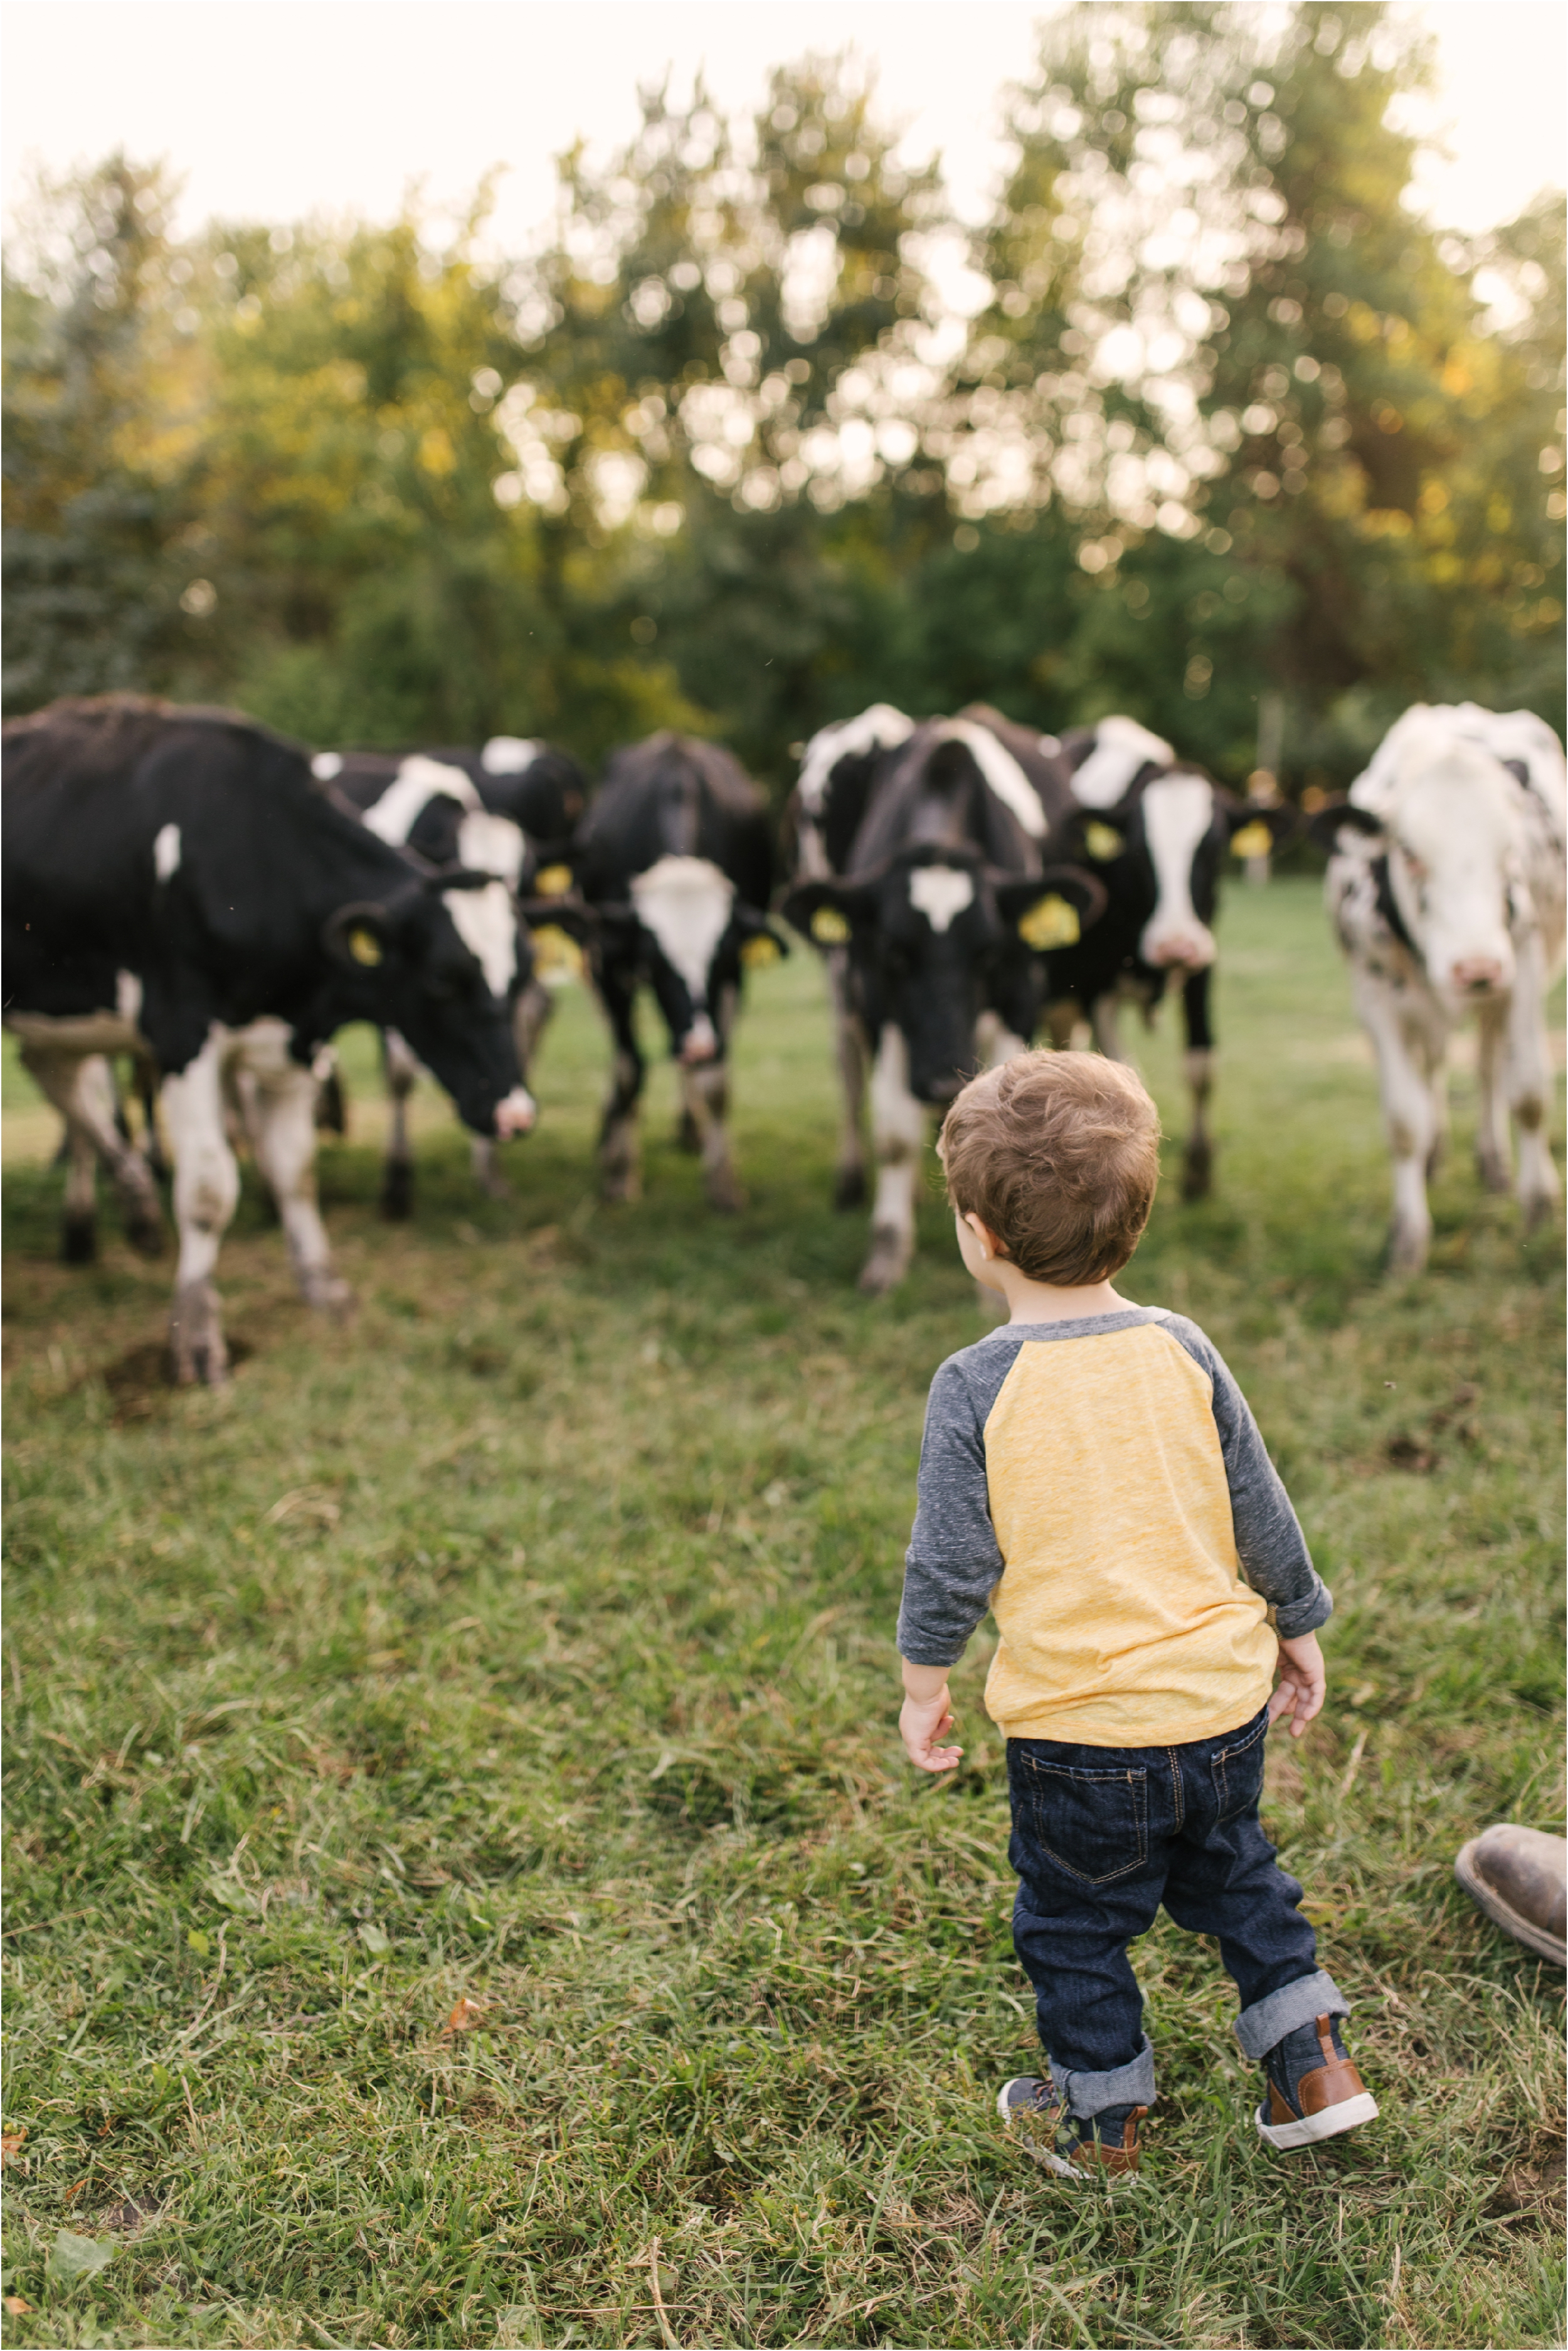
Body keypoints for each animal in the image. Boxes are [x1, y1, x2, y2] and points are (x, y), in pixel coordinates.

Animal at [3, 691, 536, 1372]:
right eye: (444, 978)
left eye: (518, 974)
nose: (516, 1113)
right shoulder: (181, 1033)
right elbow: (207, 1191)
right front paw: (197, 1336)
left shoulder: (293, 1044)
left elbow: (294, 1171)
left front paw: (326, 1290)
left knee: (58, 1082)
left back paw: (133, 1210)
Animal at [573, 733, 785, 1213]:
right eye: (655, 961)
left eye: (721, 957)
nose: (698, 1045)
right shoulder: (610, 966)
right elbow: (630, 1070)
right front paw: (620, 1174)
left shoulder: (732, 982)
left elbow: (715, 1083)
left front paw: (722, 1183)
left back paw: (692, 1129)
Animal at [780, 709, 1104, 1297]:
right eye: (893, 953)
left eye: (989, 953)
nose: (937, 1081)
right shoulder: (879, 1004)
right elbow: (894, 1133)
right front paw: (887, 1252)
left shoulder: (1019, 998)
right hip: (841, 985)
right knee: (850, 1070)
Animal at [1044, 709, 1297, 1194]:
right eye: (1139, 852)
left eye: (1214, 849)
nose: (1175, 944)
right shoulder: (1093, 985)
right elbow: (1123, 1078)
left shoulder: (1204, 961)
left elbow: (1201, 1064)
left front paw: (1199, 1169)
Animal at [1316, 705, 1560, 1278]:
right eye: (1408, 853)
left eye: (1510, 851)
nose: (1477, 966)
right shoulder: (1377, 999)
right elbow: (1406, 1120)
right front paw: (1407, 1240)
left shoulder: (1522, 971)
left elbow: (1529, 1094)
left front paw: (1539, 1208)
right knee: (1435, 1066)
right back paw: (1436, 1157)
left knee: (1491, 1069)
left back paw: (1494, 1163)